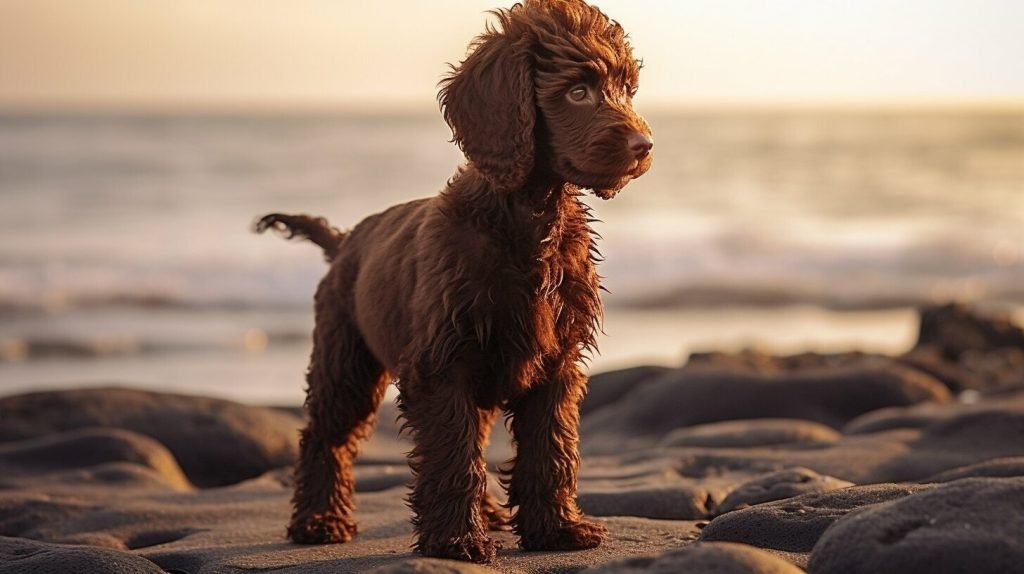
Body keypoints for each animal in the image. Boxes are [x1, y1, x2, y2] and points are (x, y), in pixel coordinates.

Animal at [252, 0, 651, 564]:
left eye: (625, 89)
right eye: (578, 92)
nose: (645, 146)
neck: (526, 219)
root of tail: (346, 239)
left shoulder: (555, 363)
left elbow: (549, 447)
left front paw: (556, 529)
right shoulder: (441, 365)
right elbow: (451, 454)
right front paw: (455, 539)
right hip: (346, 360)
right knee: (324, 436)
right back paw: (319, 521)